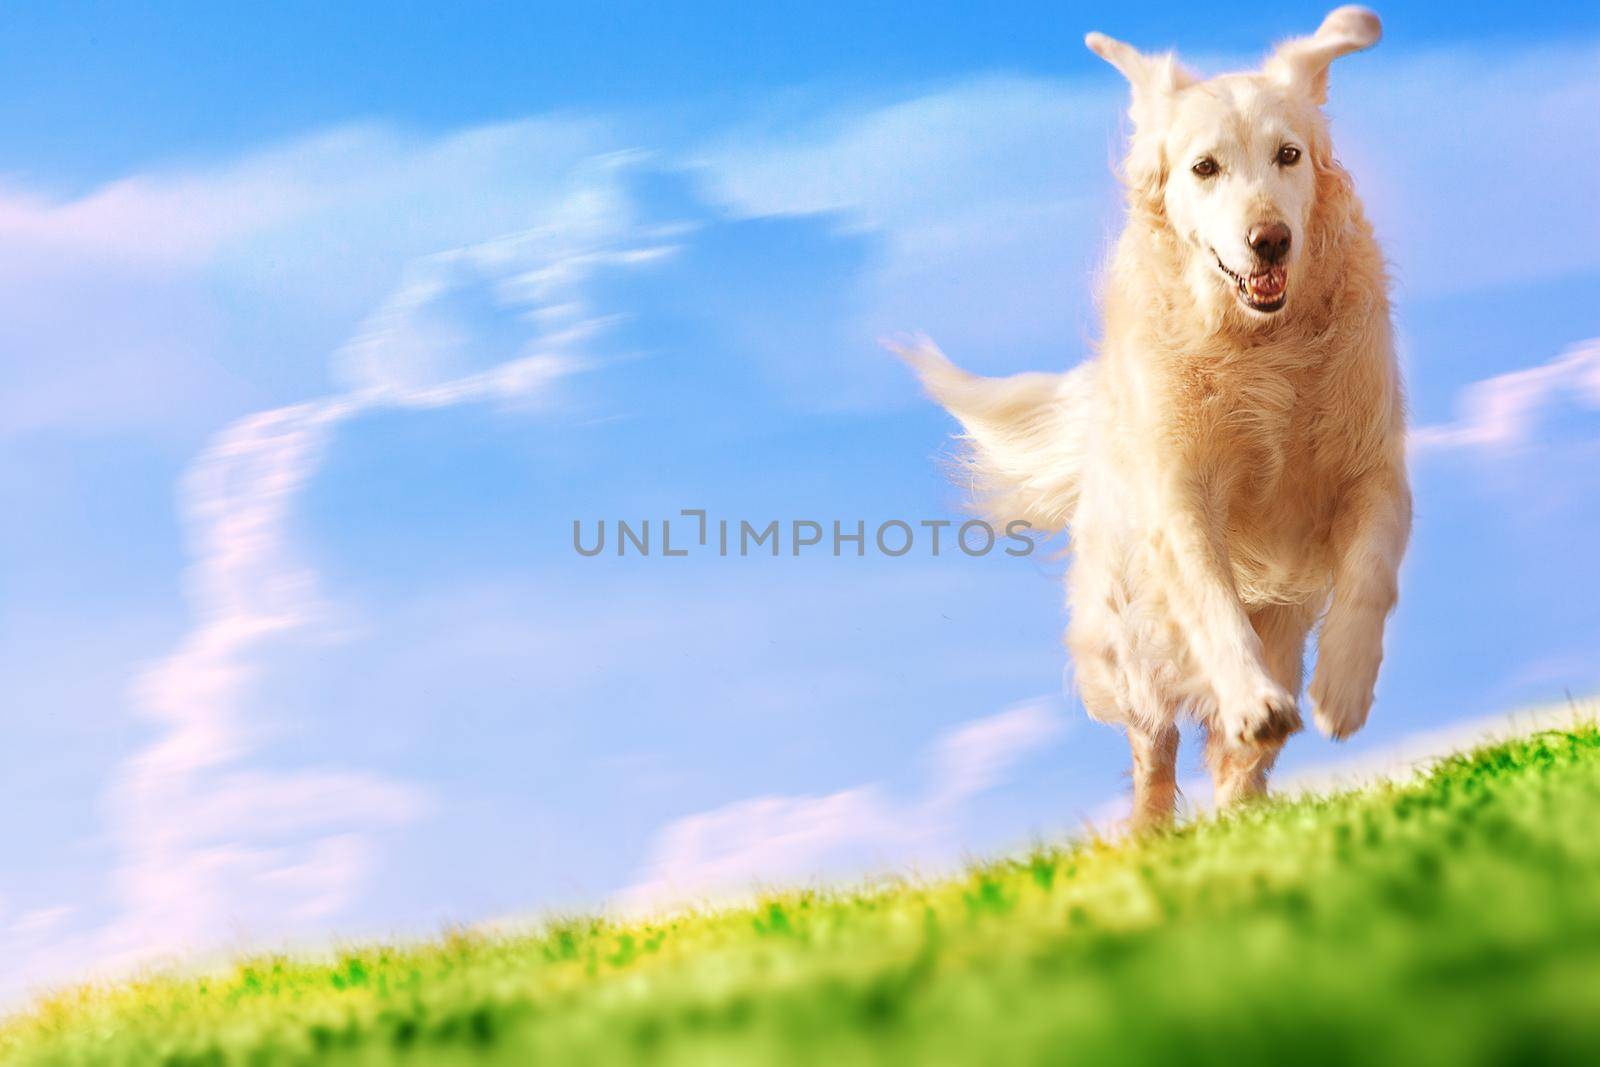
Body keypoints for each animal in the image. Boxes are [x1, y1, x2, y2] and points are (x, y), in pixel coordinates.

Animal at [902, 6, 1414, 825]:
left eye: (1289, 155)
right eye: (1205, 168)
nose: (1271, 240)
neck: (1260, 344)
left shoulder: (1374, 470)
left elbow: (1369, 575)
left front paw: (1343, 689)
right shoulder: (1179, 499)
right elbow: (1211, 603)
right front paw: (1253, 700)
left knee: (1236, 757)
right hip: (1130, 636)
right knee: (1155, 746)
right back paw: (1153, 833)